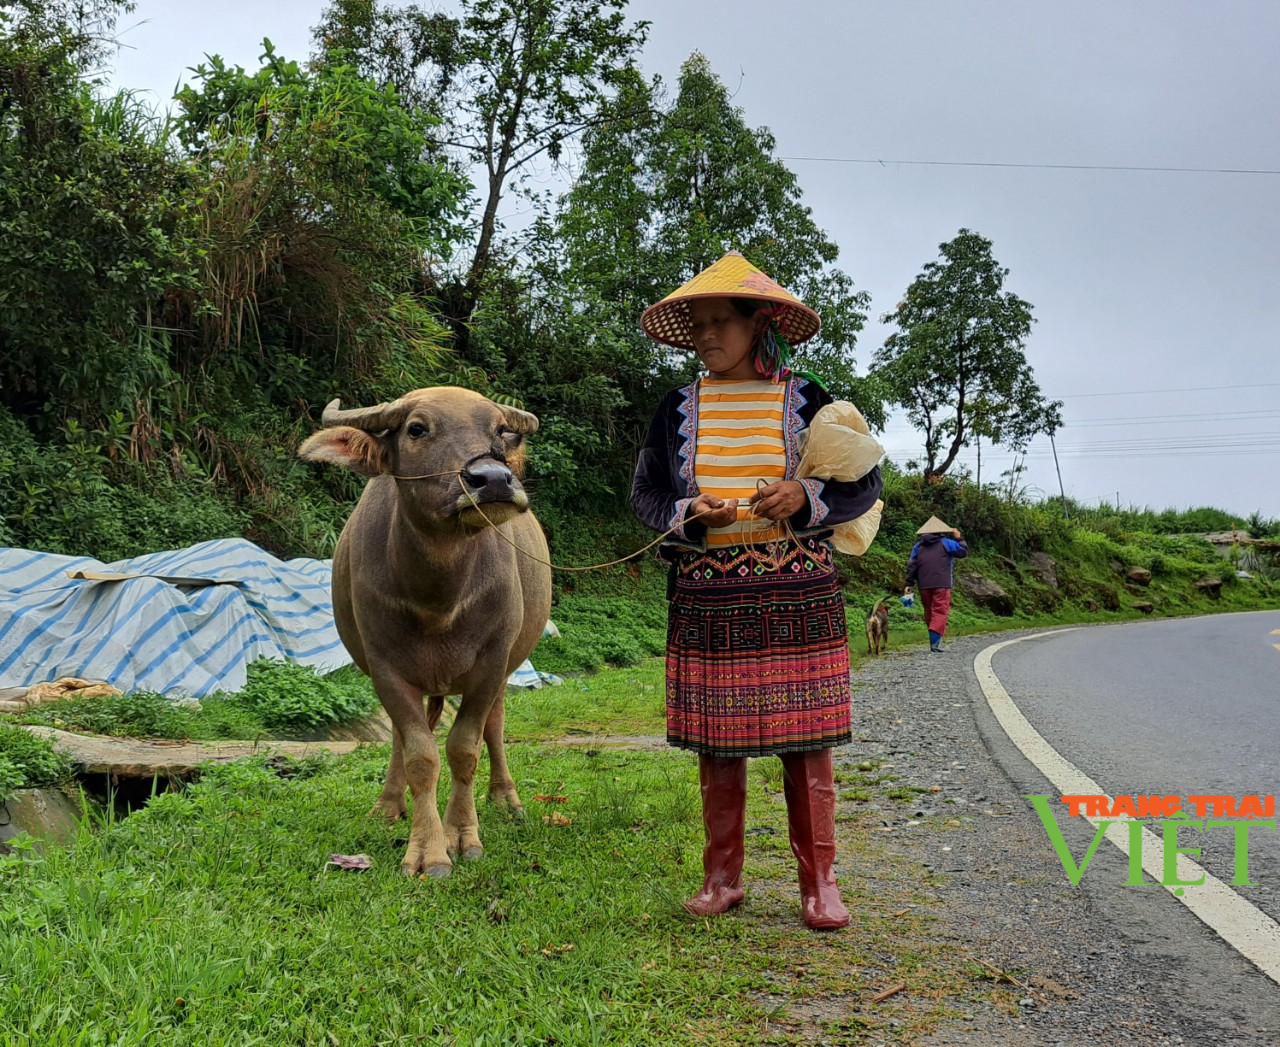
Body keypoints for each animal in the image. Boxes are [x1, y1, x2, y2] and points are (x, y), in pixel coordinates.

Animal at [304, 383, 555, 875]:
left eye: (499, 428)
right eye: (417, 429)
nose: (493, 480)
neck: (440, 598)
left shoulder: (491, 664)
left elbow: (464, 748)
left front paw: (463, 835)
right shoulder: (385, 668)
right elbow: (420, 754)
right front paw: (426, 850)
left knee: (495, 726)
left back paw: (506, 799)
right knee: (402, 741)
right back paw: (387, 805)